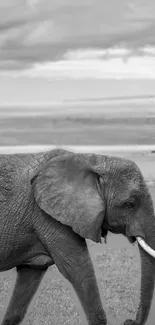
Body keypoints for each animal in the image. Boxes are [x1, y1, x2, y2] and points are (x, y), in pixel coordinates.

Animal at [0, 147, 155, 324]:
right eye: (130, 204)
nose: (128, 320)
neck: (93, 160)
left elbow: (29, 279)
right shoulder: (48, 216)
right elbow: (80, 272)